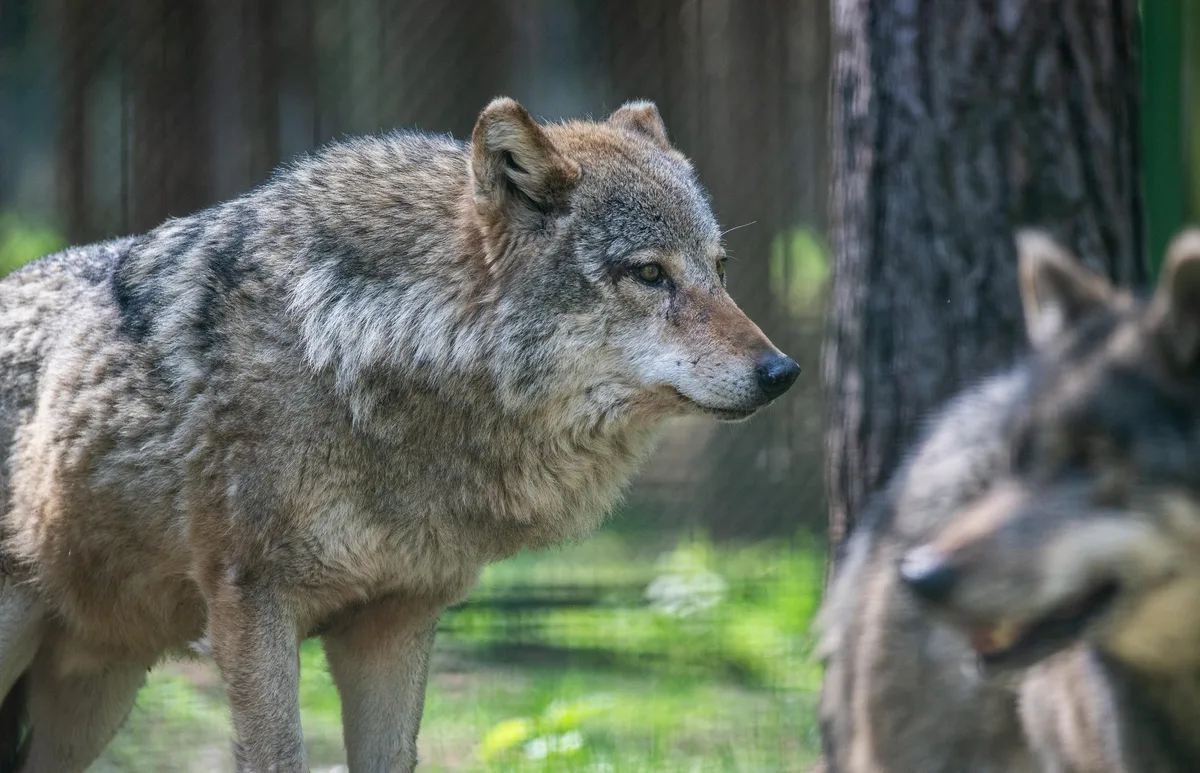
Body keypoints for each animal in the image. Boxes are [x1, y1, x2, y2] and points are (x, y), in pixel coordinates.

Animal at [0, 97, 799, 772]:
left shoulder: (397, 618)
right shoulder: (252, 606)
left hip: (95, 698)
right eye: (650, 274)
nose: (782, 371)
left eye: (719, 270)